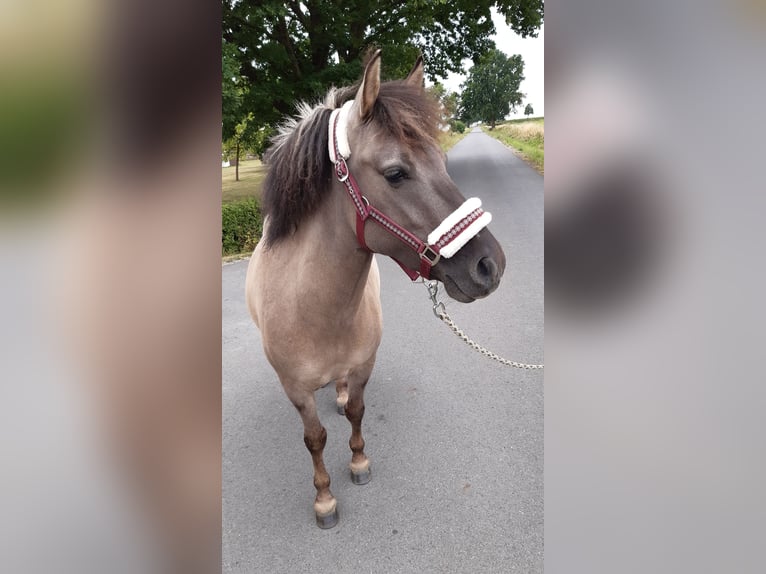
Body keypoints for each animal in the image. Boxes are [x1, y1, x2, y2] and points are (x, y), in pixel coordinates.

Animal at [248, 50, 510, 532]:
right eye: (395, 173)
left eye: (442, 161)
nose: (490, 265)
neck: (313, 308)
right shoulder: (295, 389)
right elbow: (315, 438)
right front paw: (325, 499)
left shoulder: (364, 365)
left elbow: (356, 413)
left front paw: (358, 463)